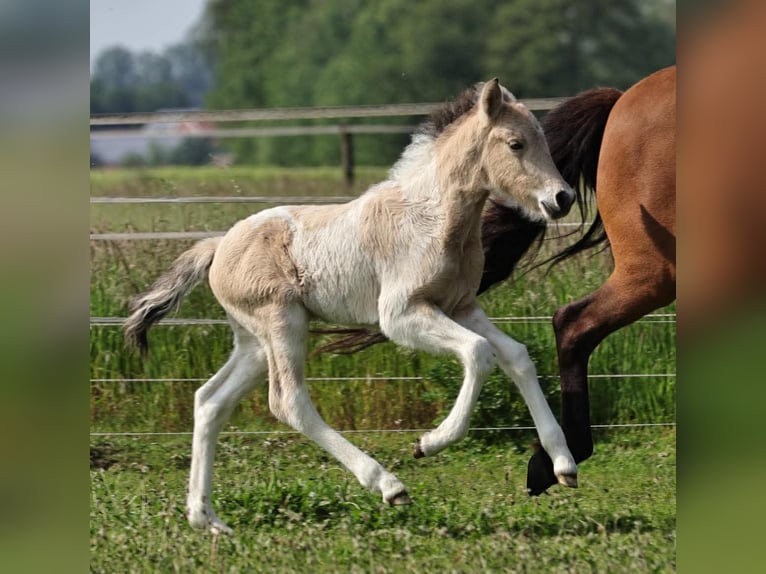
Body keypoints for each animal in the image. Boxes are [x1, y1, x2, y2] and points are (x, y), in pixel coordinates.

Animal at [124, 77, 576, 536]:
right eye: (516, 144)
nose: (562, 198)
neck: (432, 217)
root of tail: (217, 247)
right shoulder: (401, 315)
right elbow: (479, 353)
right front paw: (429, 442)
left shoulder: (462, 306)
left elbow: (516, 356)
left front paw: (564, 465)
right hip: (282, 323)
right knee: (287, 401)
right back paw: (388, 485)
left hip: (253, 342)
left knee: (210, 401)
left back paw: (206, 518)